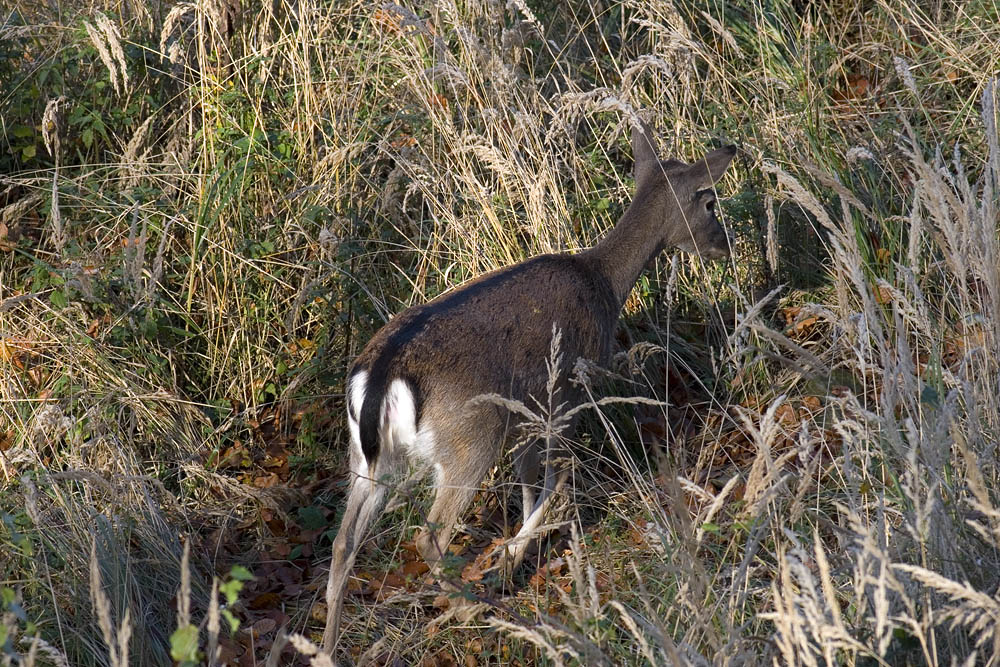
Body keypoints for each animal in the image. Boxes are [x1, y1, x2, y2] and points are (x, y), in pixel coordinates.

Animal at [320, 117, 736, 656]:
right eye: (709, 202)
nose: (725, 243)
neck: (605, 284)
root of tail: (381, 376)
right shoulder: (567, 396)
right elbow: (558, 481)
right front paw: (508, 560)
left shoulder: (526, 414)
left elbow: (528, 483)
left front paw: (511, 556)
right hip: (469, 439)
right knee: (428, 536)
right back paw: (468, 605)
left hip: (369, 458)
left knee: (343, 542)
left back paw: (326, 648)